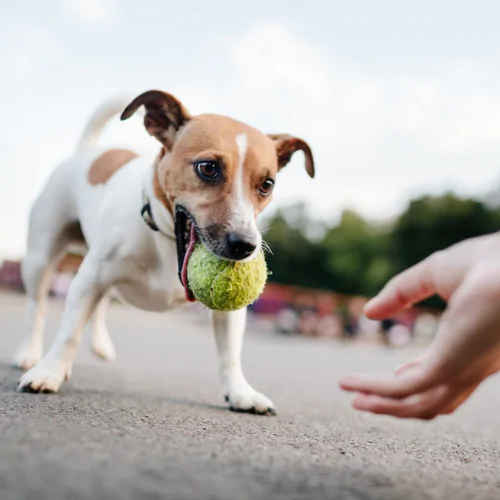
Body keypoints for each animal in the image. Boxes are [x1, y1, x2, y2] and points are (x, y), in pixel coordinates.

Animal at [15, 90, 314, 414]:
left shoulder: (230, 313)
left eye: (267, 184)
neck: (167, 242)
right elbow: (69, 332)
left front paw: (240, 393)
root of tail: (89, 151)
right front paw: (50, 372)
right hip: (41, 256)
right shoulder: (89, 279)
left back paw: (100, 345)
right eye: (208, 168)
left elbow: (230, 354)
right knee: (37, 306)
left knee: (101, 303)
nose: (245, 245)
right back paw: (30, 353)